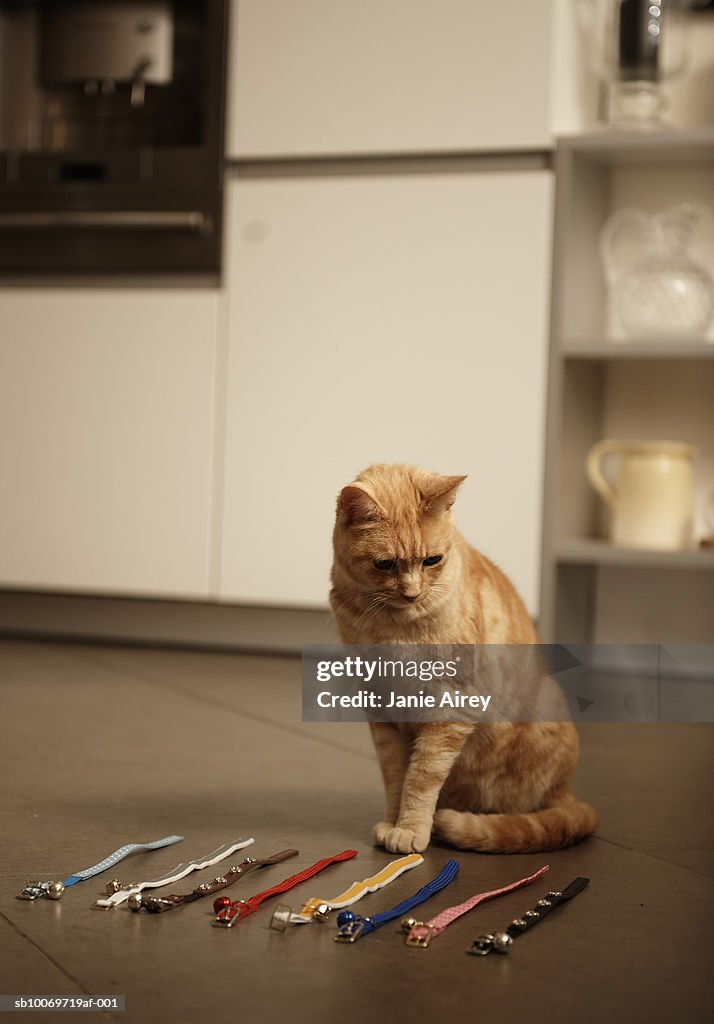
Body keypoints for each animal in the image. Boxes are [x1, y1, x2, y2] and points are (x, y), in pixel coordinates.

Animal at [331, 464, 598, 856]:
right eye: (385, 564)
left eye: (432, 560)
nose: (412, 593)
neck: (390, 627)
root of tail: (565, 793)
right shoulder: (382, 708)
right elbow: (395, 775)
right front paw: (393, 822)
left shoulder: (450, 704)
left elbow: (421, 778)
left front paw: (410, 829)